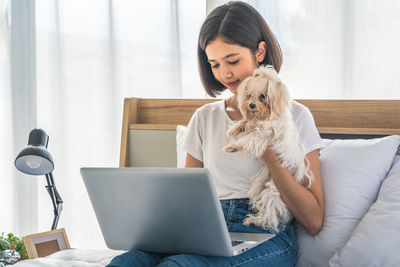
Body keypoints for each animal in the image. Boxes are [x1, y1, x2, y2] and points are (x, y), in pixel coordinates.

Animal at [222, 66, 312, 233]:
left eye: (263, 96)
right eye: (249, 95)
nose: (251, 105)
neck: (264, 116)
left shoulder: (263, 135)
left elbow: (248, 140)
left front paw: (233, 146)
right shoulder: (254, 122)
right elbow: (245, 121)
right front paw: (234, 130)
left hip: (274, 190)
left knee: (270, 216)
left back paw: (254, 220)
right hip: (261, 183)